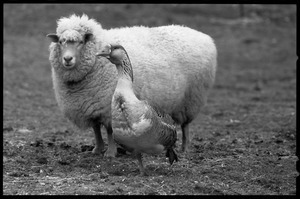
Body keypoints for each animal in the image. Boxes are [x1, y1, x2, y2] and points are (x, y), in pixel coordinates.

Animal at [46, 13, 216, 157]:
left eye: (81, 41)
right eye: (60, 42)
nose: (67, 59)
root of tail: (203, 36)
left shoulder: (108, 107)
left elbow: (110, 131)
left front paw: (110, 153)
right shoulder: (90, 107)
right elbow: (96, 130)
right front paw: (97, 149)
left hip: (191, 99)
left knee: (185, 126)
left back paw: (185, 148)